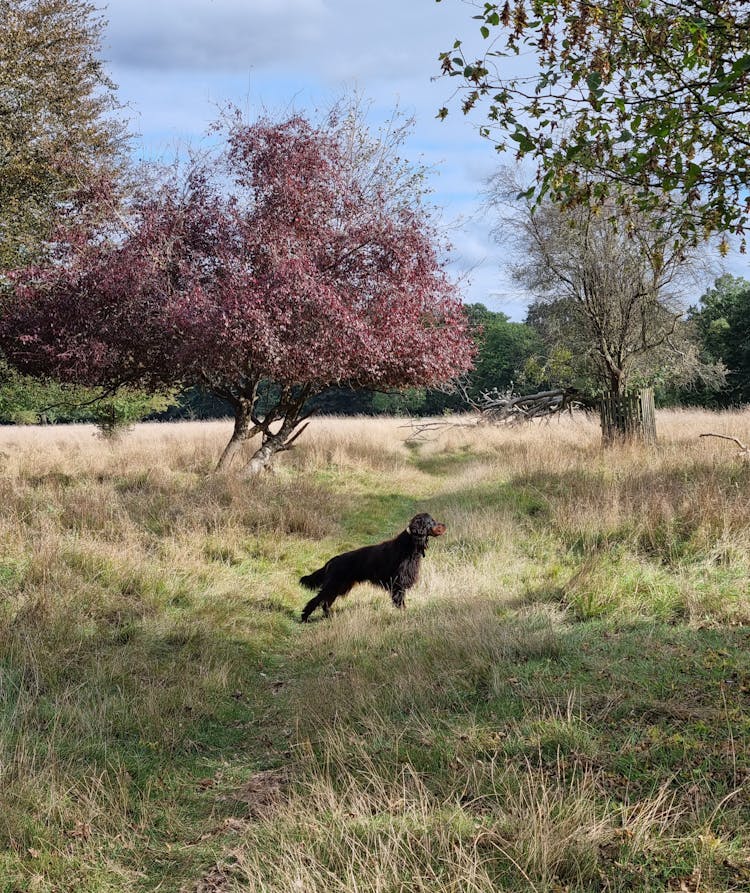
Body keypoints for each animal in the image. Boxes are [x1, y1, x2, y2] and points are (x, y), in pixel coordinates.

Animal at [302, 512, 446, 624]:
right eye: (432, 522)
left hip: (340, 586)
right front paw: (403, 614)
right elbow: (400, 601)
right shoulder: (398, 583)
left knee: (325, 603)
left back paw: (329, 617)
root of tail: (333, 560)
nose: (445, 525)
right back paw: (304, 617)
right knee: (316, 600)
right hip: (333, 585)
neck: (409, 545)